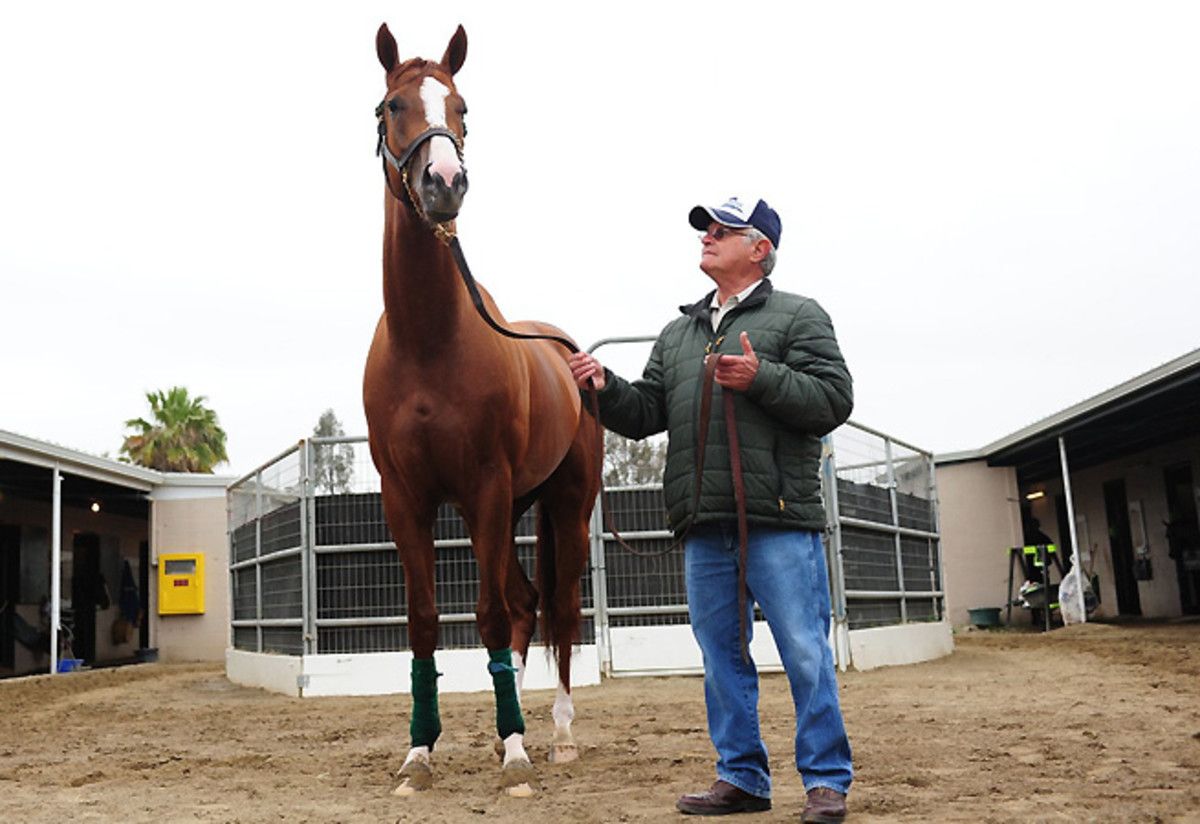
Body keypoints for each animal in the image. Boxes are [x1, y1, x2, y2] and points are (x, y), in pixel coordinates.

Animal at [362, 23, 603, 797]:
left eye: (462, 107)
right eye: (392, 105)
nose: (444, 183)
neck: (429, 341)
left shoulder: (486, 488)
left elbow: (490, 614)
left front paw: (519, 755)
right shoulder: (406, 498)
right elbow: (425, 620)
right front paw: (419, 754)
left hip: (564, 503)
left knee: (557, 607)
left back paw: (554, 735)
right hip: (513, 505)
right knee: (529, 603)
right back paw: (509, 727)